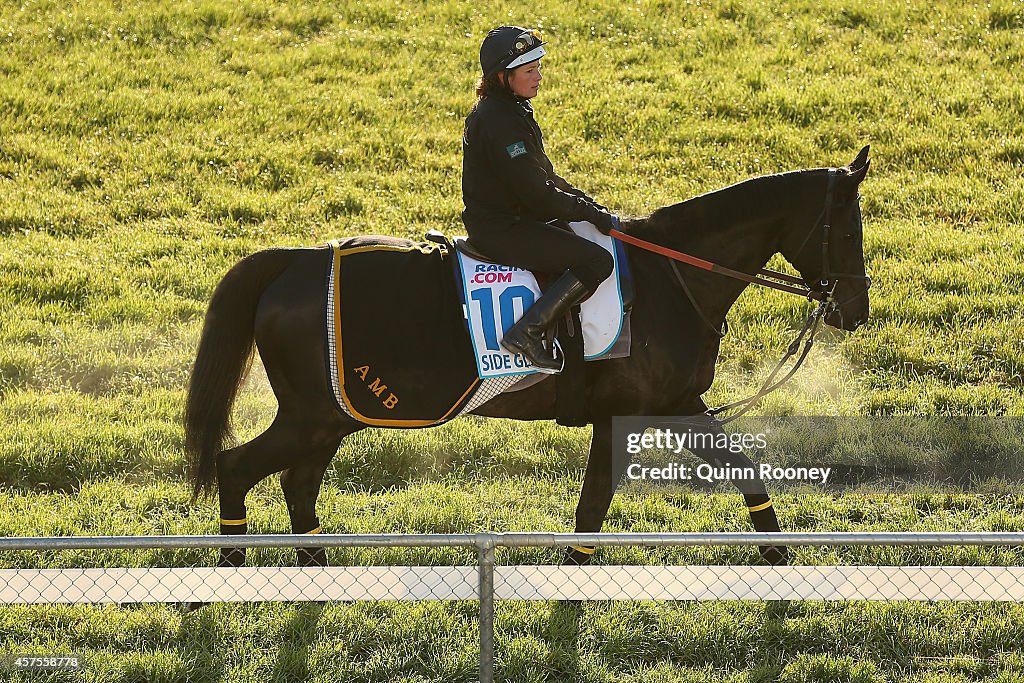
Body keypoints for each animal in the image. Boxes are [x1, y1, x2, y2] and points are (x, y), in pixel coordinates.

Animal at [184, 145, 872, 573]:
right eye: (850, 229)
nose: (855, 309)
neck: (670, 277)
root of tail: (293, 260)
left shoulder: (678, 403)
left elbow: (746, 471)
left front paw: (782, 565)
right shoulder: (620, 417)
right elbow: (592, 508)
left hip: (332, 418)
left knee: (297, 487)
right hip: (315, 416)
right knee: (235, 467)